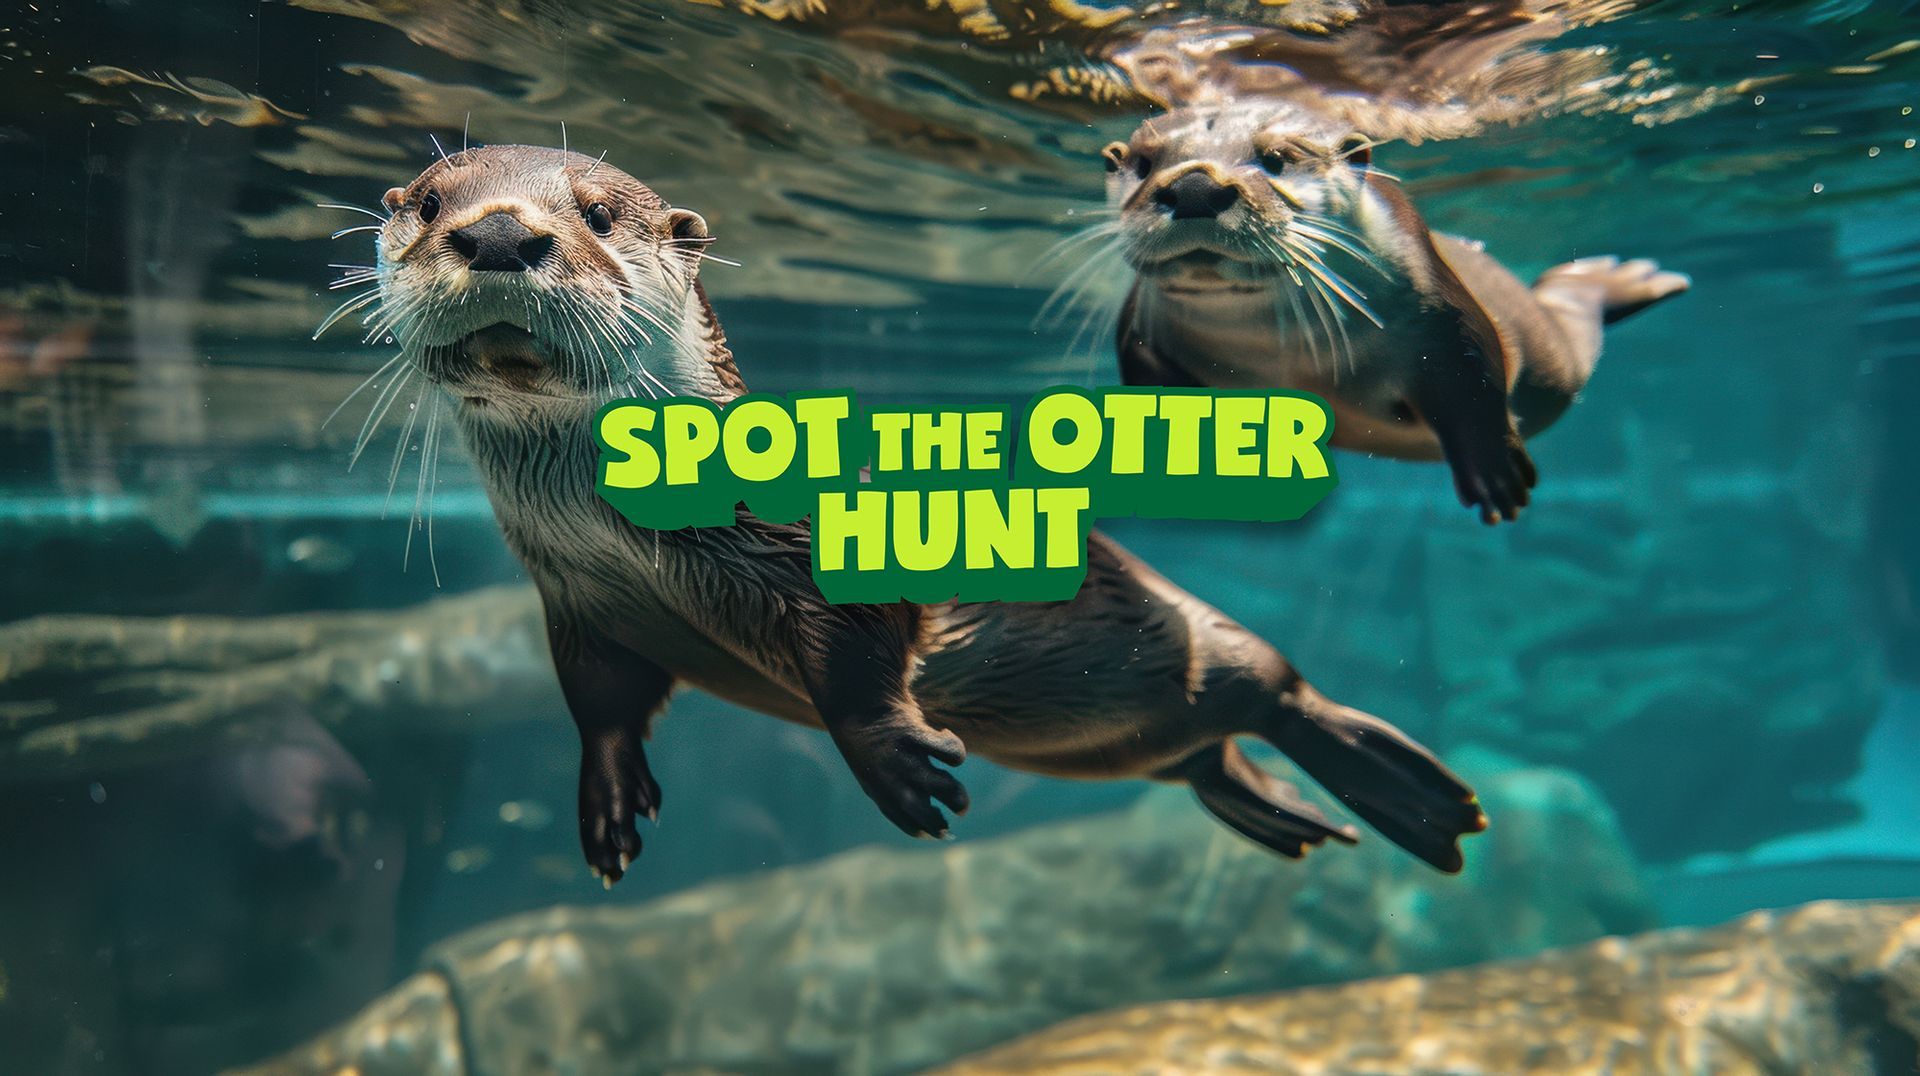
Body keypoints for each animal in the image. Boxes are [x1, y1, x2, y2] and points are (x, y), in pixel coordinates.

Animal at [344, 144, 1484, 883]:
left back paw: (1416, 791)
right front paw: (611, 799)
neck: (625, 534)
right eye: (429, 202)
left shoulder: (815, 543)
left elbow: (860, 660)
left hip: (1212, 636)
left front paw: (899, 766)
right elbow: (602, 702)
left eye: (595, 211)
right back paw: (1290, 816)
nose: (499, 232)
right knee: (1213, 752)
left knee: (1286, 691)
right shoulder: (577, 598)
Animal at [1098, 103, 1690, 524]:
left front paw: (1494, 471)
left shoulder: (1436, 310)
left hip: (1549, 361)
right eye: (1144, 165)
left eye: (1276, 159)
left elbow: (1473, 379)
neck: (1281, 351)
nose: (1194, 186)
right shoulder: (1138, 333)